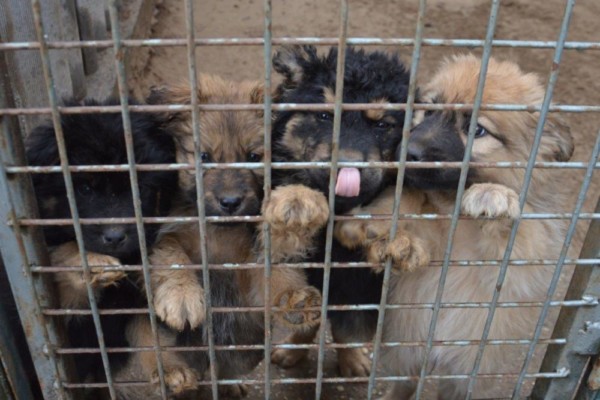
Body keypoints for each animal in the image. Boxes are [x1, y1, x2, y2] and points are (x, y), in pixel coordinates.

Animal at [25, 98, 177, 392]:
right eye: (84, 189)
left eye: (140, 189)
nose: (115, 237)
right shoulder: (63, 313)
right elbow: (62, 255)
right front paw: (93, 263)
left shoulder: (135, 300)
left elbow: (151, 336)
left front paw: (171, 369)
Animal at [118, 75, 323, 398]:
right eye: (203, 156)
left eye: (253, 157)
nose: (230, 202)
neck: (219, 233)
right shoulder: (160, 234)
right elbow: (169, 251)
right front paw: (181, 294)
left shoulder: (249, 272)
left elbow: (275, 266)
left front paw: (293, 296)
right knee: (153, 346)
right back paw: (174, 373)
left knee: (222, 371)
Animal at [262, 44, 425, 377]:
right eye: (325, 116)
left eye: (382, 125)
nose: (348, 168)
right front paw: (297, 200)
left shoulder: (362, 287)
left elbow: (349, 326)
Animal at [334, 54, 574, 399]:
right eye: (430, 110)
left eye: (478, 130)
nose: (407, 152)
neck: (456, 212)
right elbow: (411, 198)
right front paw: (378, 228)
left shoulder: (525, 254)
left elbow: (520, 230)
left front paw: (493, 195)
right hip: (407, 352)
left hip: (466, 372)